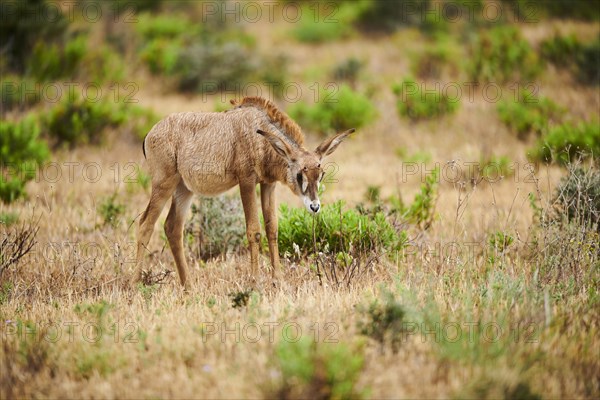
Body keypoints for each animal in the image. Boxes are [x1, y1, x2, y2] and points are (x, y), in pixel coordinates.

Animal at [134, 98, 354, 290]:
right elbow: (254, 230)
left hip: (184, 189)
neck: (260, 135)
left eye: (321, 173)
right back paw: (135, 284)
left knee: (172, 227)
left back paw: (188, 287)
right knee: (145, 225)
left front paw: (278, 280)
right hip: (164, 184)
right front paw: (255, 282)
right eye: (300, 173)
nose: (314, 206)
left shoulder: (268, 185)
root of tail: (150, 134)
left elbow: (272, 228)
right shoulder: (246, 182)